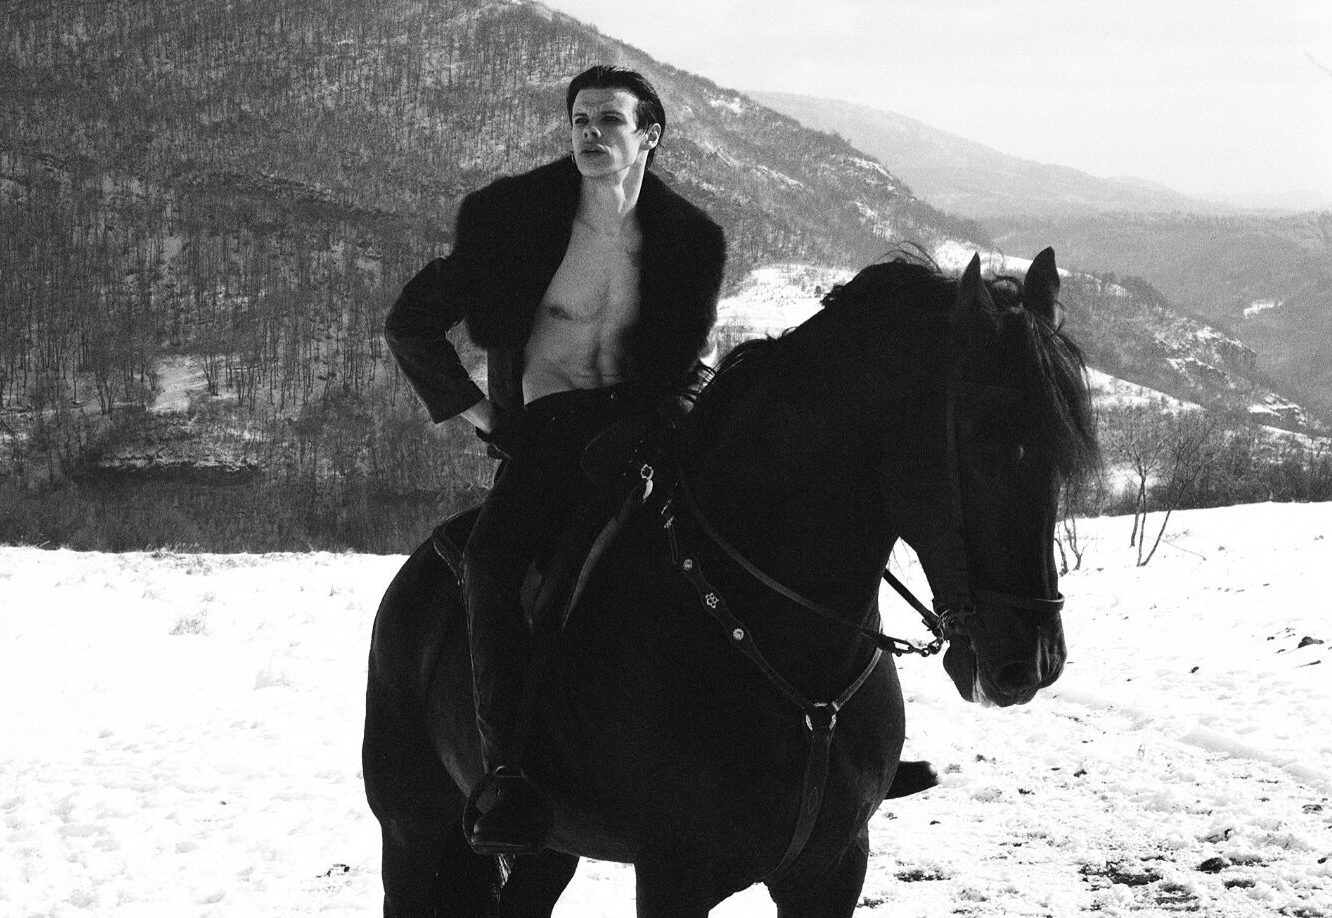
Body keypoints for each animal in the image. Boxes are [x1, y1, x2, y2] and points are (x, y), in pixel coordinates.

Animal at [362, 248, 1099, 917]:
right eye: (985, 442)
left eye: (1065, 451)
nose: (1031, 662)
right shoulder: (674, 878)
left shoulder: (832, 870)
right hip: (412, 832)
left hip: (552, 847)